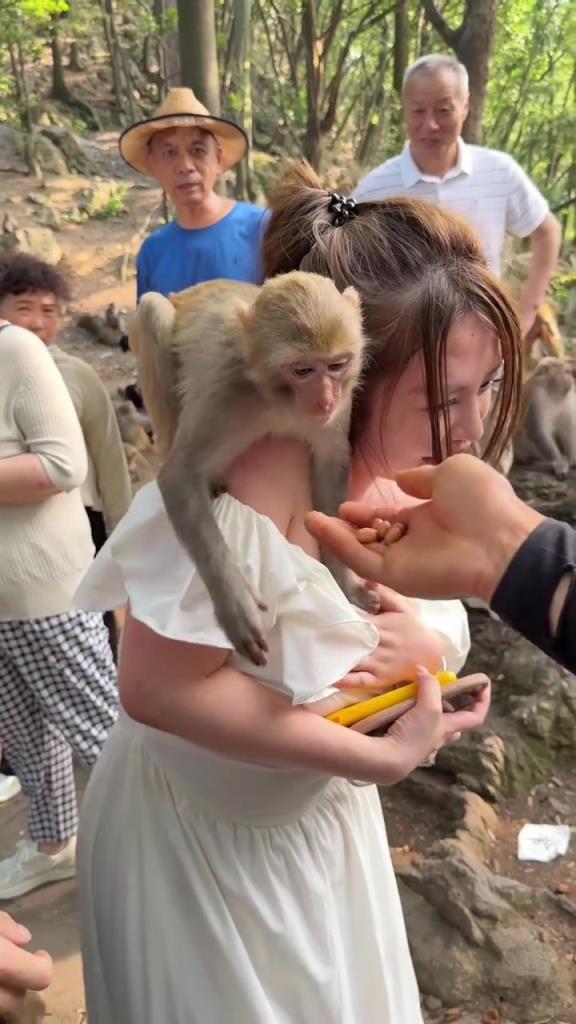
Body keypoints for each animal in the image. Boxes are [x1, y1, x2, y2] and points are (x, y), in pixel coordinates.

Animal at [129, 272, 374, 666]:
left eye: (337, 364)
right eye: (303, 370)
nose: (325, 400)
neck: (279, 400)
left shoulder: (343, 401)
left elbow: (329, 464)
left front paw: (345, 580)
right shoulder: (227, 391)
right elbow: (178, 474)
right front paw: (236, 604)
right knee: (153, 311)